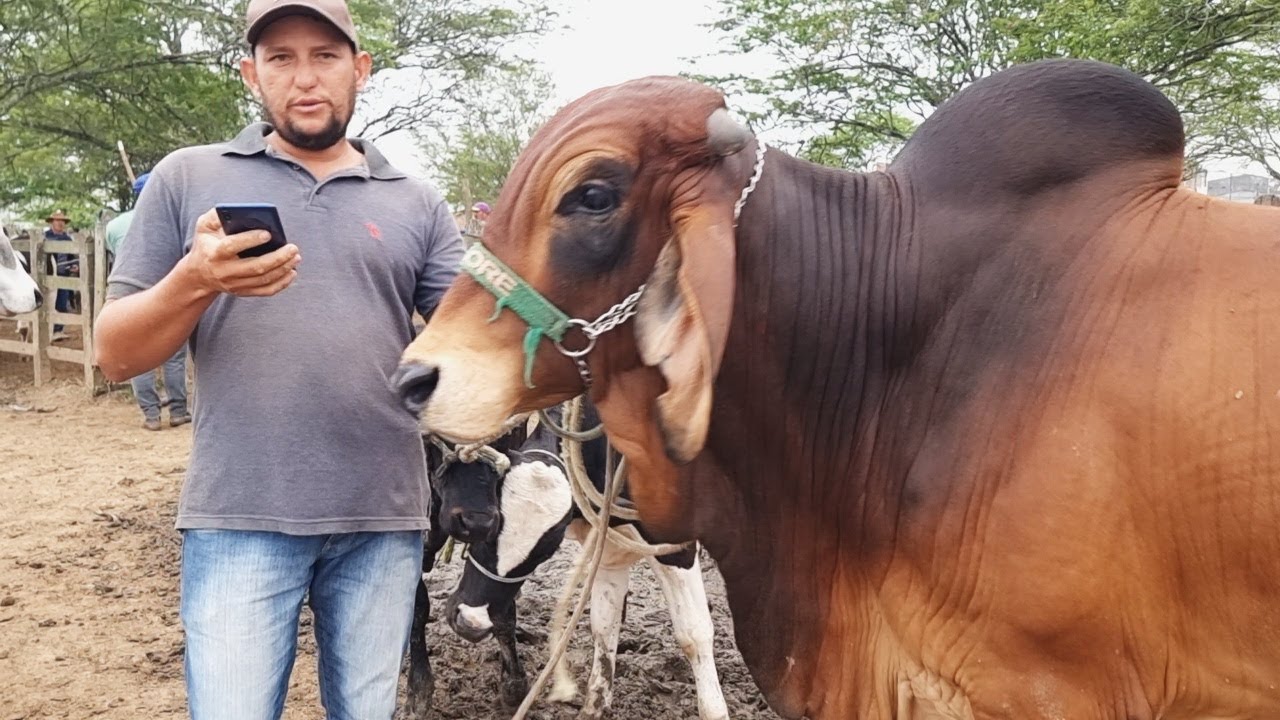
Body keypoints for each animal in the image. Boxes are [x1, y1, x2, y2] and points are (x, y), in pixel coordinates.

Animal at [432, 399, 727, 717]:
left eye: (545, 550)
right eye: (489, 529)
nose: (470, 623)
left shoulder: (675, 545)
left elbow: (693, 633)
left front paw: (716, 711)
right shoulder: (606, 540)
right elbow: (604, 624)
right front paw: (594, 705)